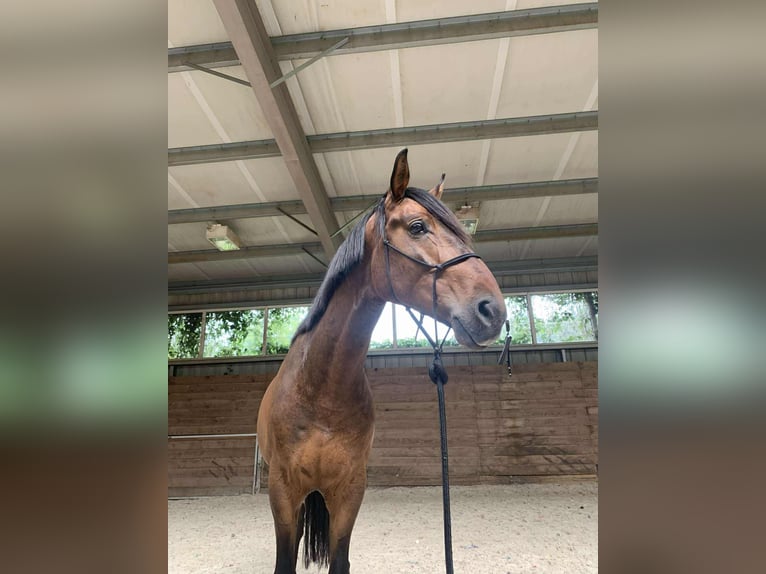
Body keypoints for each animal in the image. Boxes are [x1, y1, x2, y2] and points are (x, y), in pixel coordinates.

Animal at [256, 149, 507, 574]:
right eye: (418, 227)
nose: (493, 311)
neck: (321, 388)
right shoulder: (282, 492)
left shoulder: (350, 492)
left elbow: (340, 560)